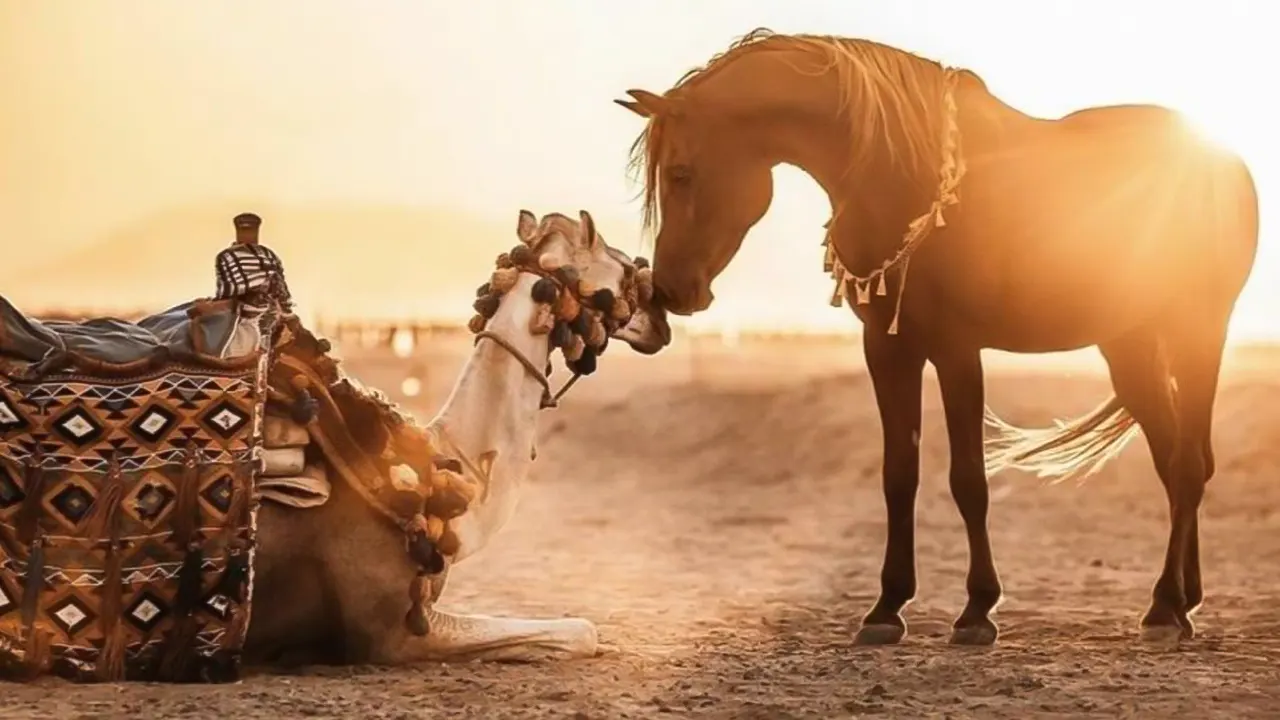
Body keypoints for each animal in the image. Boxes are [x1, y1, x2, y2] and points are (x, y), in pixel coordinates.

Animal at [609, 29, 1259, 645]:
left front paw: (977, 610)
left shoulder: (956, 350)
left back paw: (1166, 610)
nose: (670, 289)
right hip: (1130, 344)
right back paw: (1181, 599)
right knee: (1173, 461)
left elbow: (968, 479)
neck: (901, 175)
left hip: (1199, 330)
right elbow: (899, 474)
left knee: (1188, 464)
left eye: (682, 173)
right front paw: (886, 608)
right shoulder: (888, 349)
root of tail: (1225, 163)